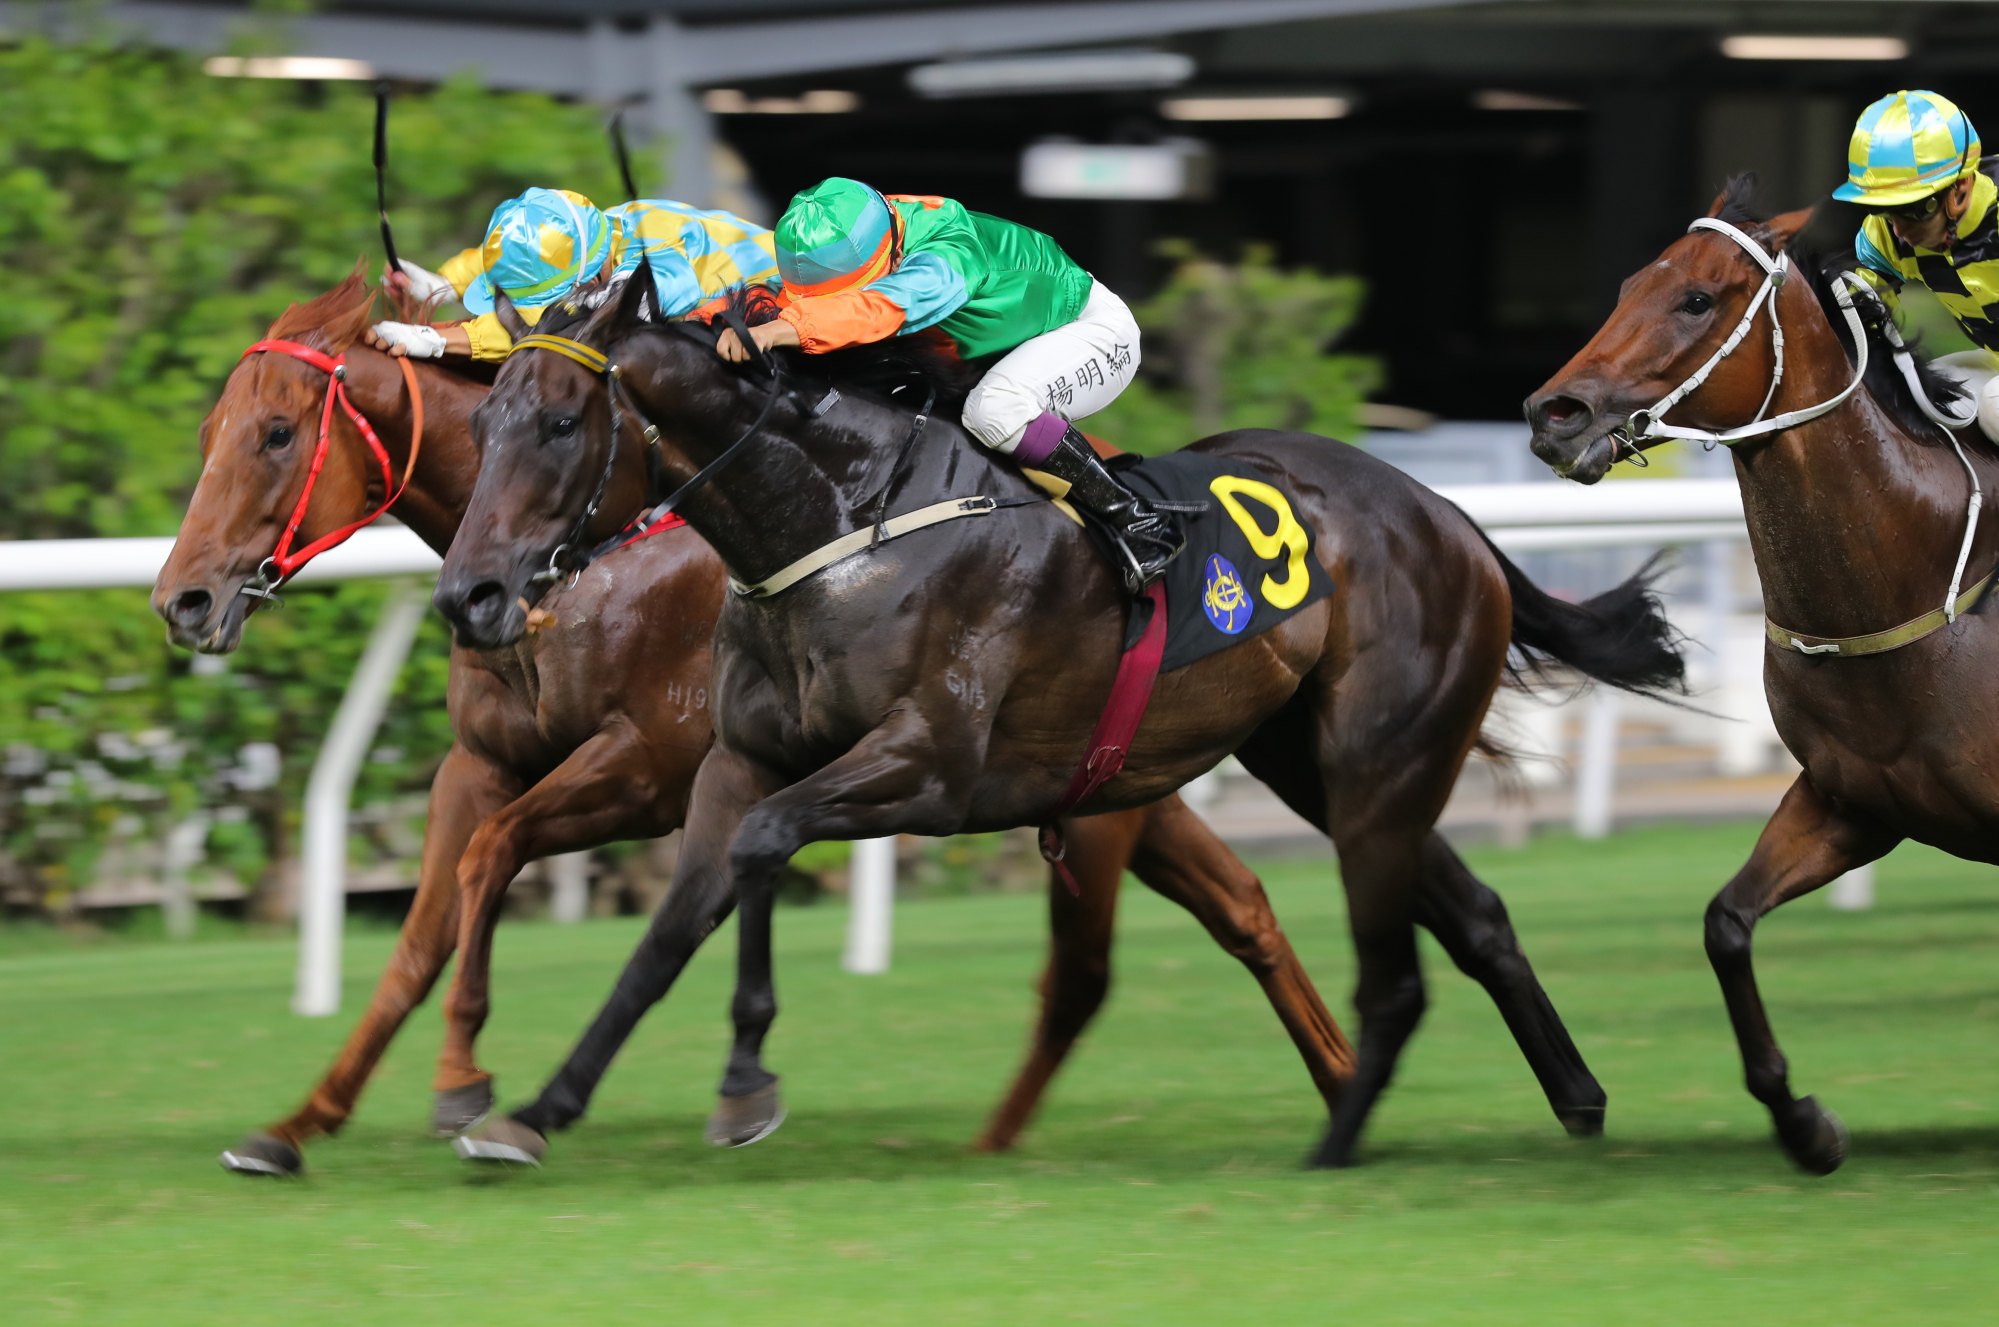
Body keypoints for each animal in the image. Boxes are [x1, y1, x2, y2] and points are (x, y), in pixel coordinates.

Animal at [151, 267, 1359, 1175]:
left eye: (273, 434)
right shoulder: (483, 762)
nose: (183, 599)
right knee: (1240, 905)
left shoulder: (646, 764)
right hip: (1107, 779)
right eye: (210, 426)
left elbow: (498, 859)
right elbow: (425, 926)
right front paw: (300, 1122)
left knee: (1105, 959)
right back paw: (1341, 1078)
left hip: (1090, 793)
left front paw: (464, 1082)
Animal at [433, 269, 1687, 1175]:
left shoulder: (928, 766)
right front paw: (536, 1106)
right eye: (483, 423)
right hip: (1317, 765)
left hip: (1380, 757)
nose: (468, 596)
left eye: (558, 423)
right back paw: (1575, 1102)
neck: (842, 521)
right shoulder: (739, 759)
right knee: (1477, 916)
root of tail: (1450, 517)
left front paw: (744, 1081)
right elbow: (667, 930)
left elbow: (761, 849)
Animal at [1527, 175, 1999, 1175]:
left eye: (1697, 299)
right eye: (1628, 284)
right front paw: (1802, 1120)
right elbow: (1726, 922)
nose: (1552, 414)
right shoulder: (1848, 801)